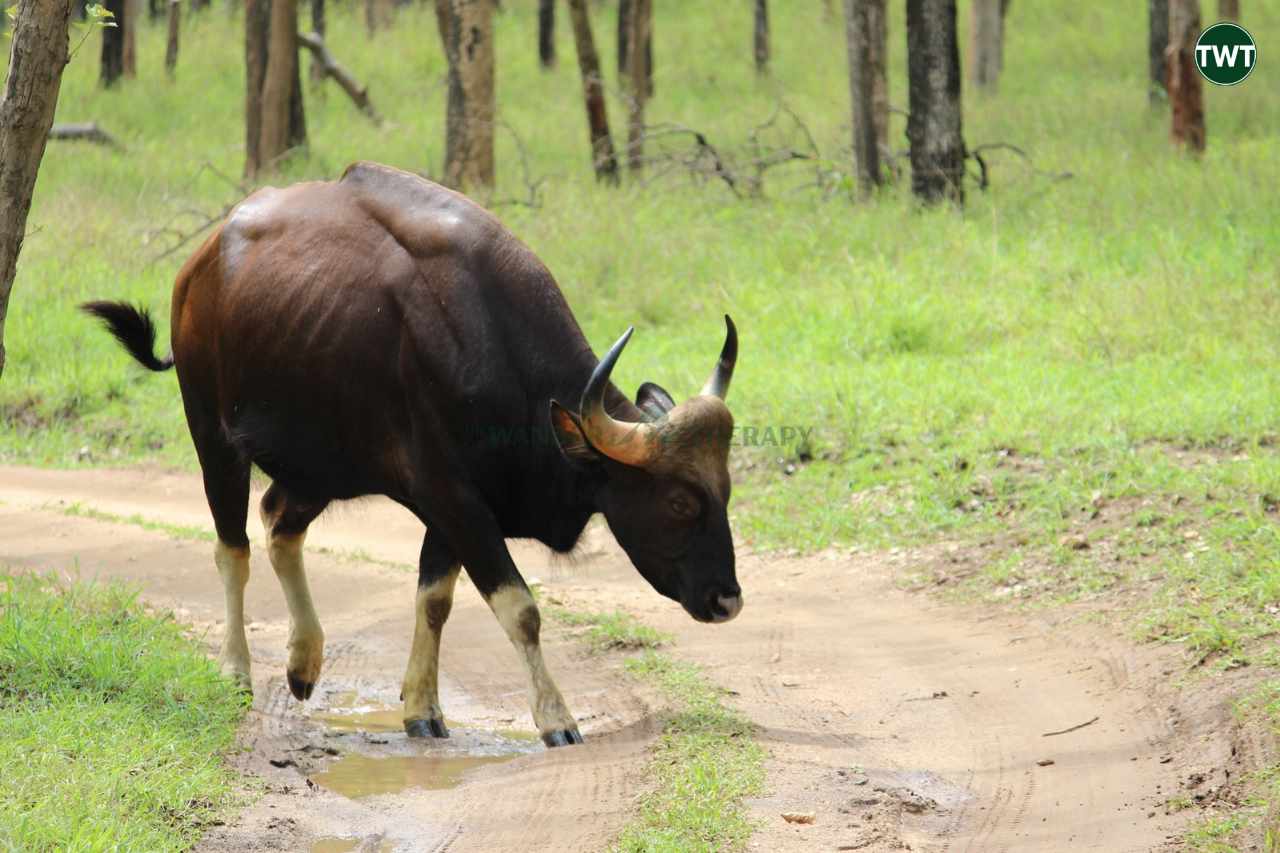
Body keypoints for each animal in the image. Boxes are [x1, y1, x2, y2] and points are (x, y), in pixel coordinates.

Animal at [82, 161, 742, 742]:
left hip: (320, 465)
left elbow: (434, 600)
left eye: (726, 492)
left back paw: (304, 662)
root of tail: (201, 264)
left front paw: (422, 709)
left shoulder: (451, 508)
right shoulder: (454, 498)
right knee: (233, 549)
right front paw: (557, 719)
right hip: (213, 436)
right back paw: (237, 670)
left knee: (279, 524)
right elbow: (519, 607)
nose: (727, 600)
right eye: (679, 501)